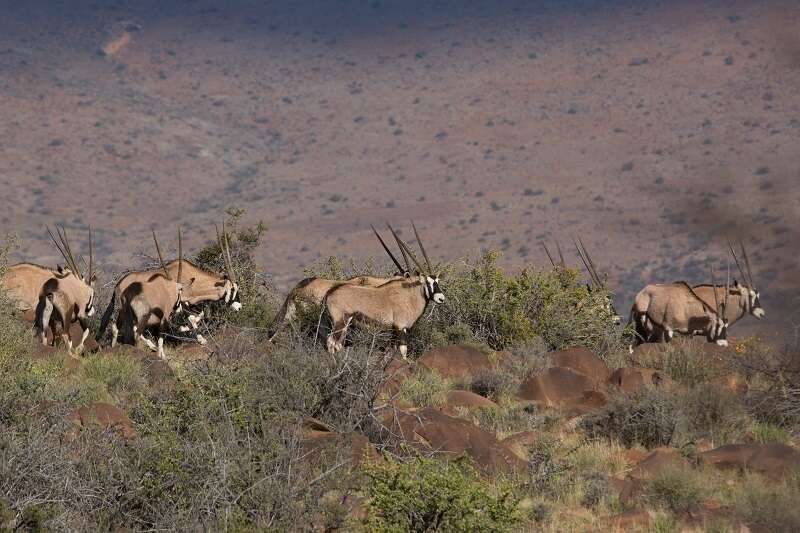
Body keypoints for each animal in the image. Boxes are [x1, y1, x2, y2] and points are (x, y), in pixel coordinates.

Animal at [35, 225, 97, 354]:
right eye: (92, 294)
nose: (92, 311)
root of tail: (51, 289)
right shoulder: (81, 315)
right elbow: (86, 331)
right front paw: (79, 349)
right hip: (66, 315)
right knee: (65, 334)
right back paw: (72, 354)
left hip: (48, 316)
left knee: (44, 336)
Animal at [97, 221, 241, 342]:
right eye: (232, 290)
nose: (239, 307)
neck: (193, 277)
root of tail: (119, 284)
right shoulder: (182, 302)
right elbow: (193, 318)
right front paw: (195, 336)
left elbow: (199, 315)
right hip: (125, 309)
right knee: (122, 327)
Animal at [116, 228, 195, 358]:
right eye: (180, 291)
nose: (178, 308)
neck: (168, 287)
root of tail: (130, 295)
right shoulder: (165, 317)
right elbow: (161, 337)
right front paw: (161, 355)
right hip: (143, 317)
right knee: (137, 335)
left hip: (129, 316)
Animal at [324, 220, 444, 358]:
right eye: (428, 282)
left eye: (437, 282)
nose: (441, 298)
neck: (410, 294)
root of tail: (330, 293)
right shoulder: (400, 327)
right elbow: (403, 350)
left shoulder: (394, 329)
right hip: (340, 321)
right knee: (331, 342)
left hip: (345, 324)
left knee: (338, 344)